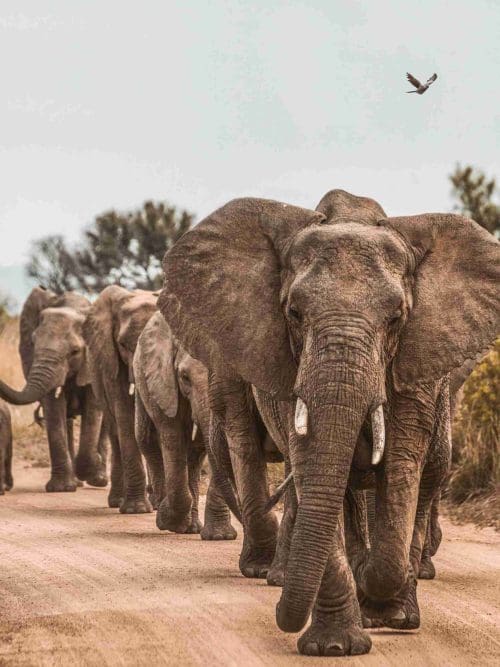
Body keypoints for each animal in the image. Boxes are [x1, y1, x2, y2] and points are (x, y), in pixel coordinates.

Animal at [0, 290, 107, 494]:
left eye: (75, 351)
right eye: (32, 343)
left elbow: (93, 411)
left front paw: (89, 470)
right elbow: (54, 410)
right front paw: (62, 488)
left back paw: (99, 479)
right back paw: (78, 481)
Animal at [82, 284, 158, 516]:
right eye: (123, 345)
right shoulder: (110, 359)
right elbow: (124, 413)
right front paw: (137, 510)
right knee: (115, 432)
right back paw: (118, 501)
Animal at [132, 310, 237, 540]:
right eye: (184, 377)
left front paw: (219, 537)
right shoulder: (164, 381)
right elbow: (173, 436)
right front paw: (166, 521)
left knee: (196, 454)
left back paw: (192, 528)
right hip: (142, 378)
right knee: (146, 439)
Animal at [159, 193, 500, 656]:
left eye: (396, 318)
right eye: (293, 313)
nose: (280, 613)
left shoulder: (417, 367)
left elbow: (402, 470)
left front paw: (383, 607)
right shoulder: (288, 368)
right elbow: (315, 473)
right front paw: (335, 646)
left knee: (422, 479)